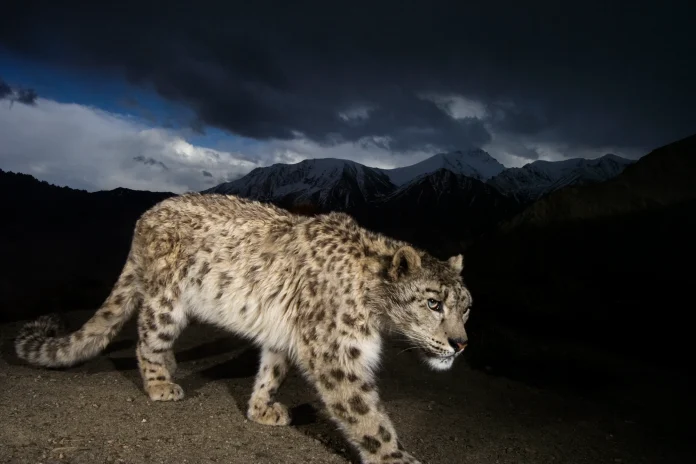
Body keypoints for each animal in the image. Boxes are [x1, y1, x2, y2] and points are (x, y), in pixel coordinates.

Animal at [15, 193, 472, 464]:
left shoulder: (286, 335)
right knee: (147, 338)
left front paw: (261, 408)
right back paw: (161, 383)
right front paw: (396, 457)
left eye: (467, 308)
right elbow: (366, 415)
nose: (461, 344)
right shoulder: (336, 355)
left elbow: (273, 369)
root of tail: (145, 217)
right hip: (167, 303)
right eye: (433, 303)